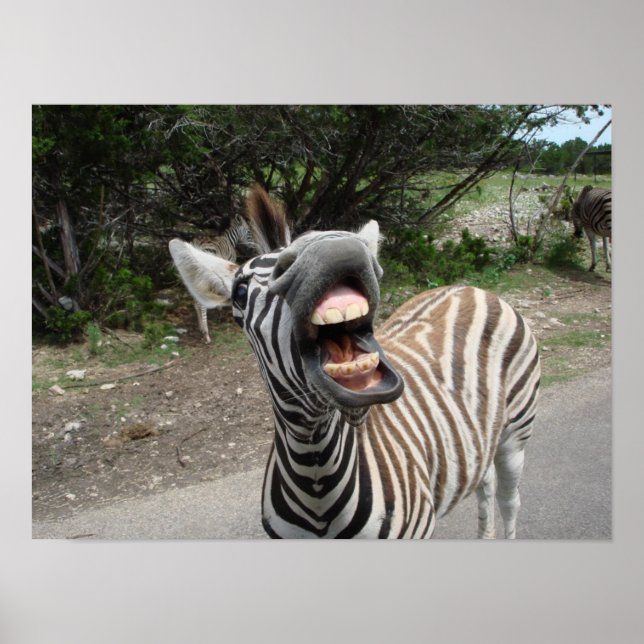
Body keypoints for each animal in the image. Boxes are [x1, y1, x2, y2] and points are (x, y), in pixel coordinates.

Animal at [169, 186, 540, 539]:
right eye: (240, 293)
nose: (332, 246)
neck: (316, 477)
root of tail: (468, 288)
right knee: (485, 483)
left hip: (516, 433)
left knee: (510, 499)